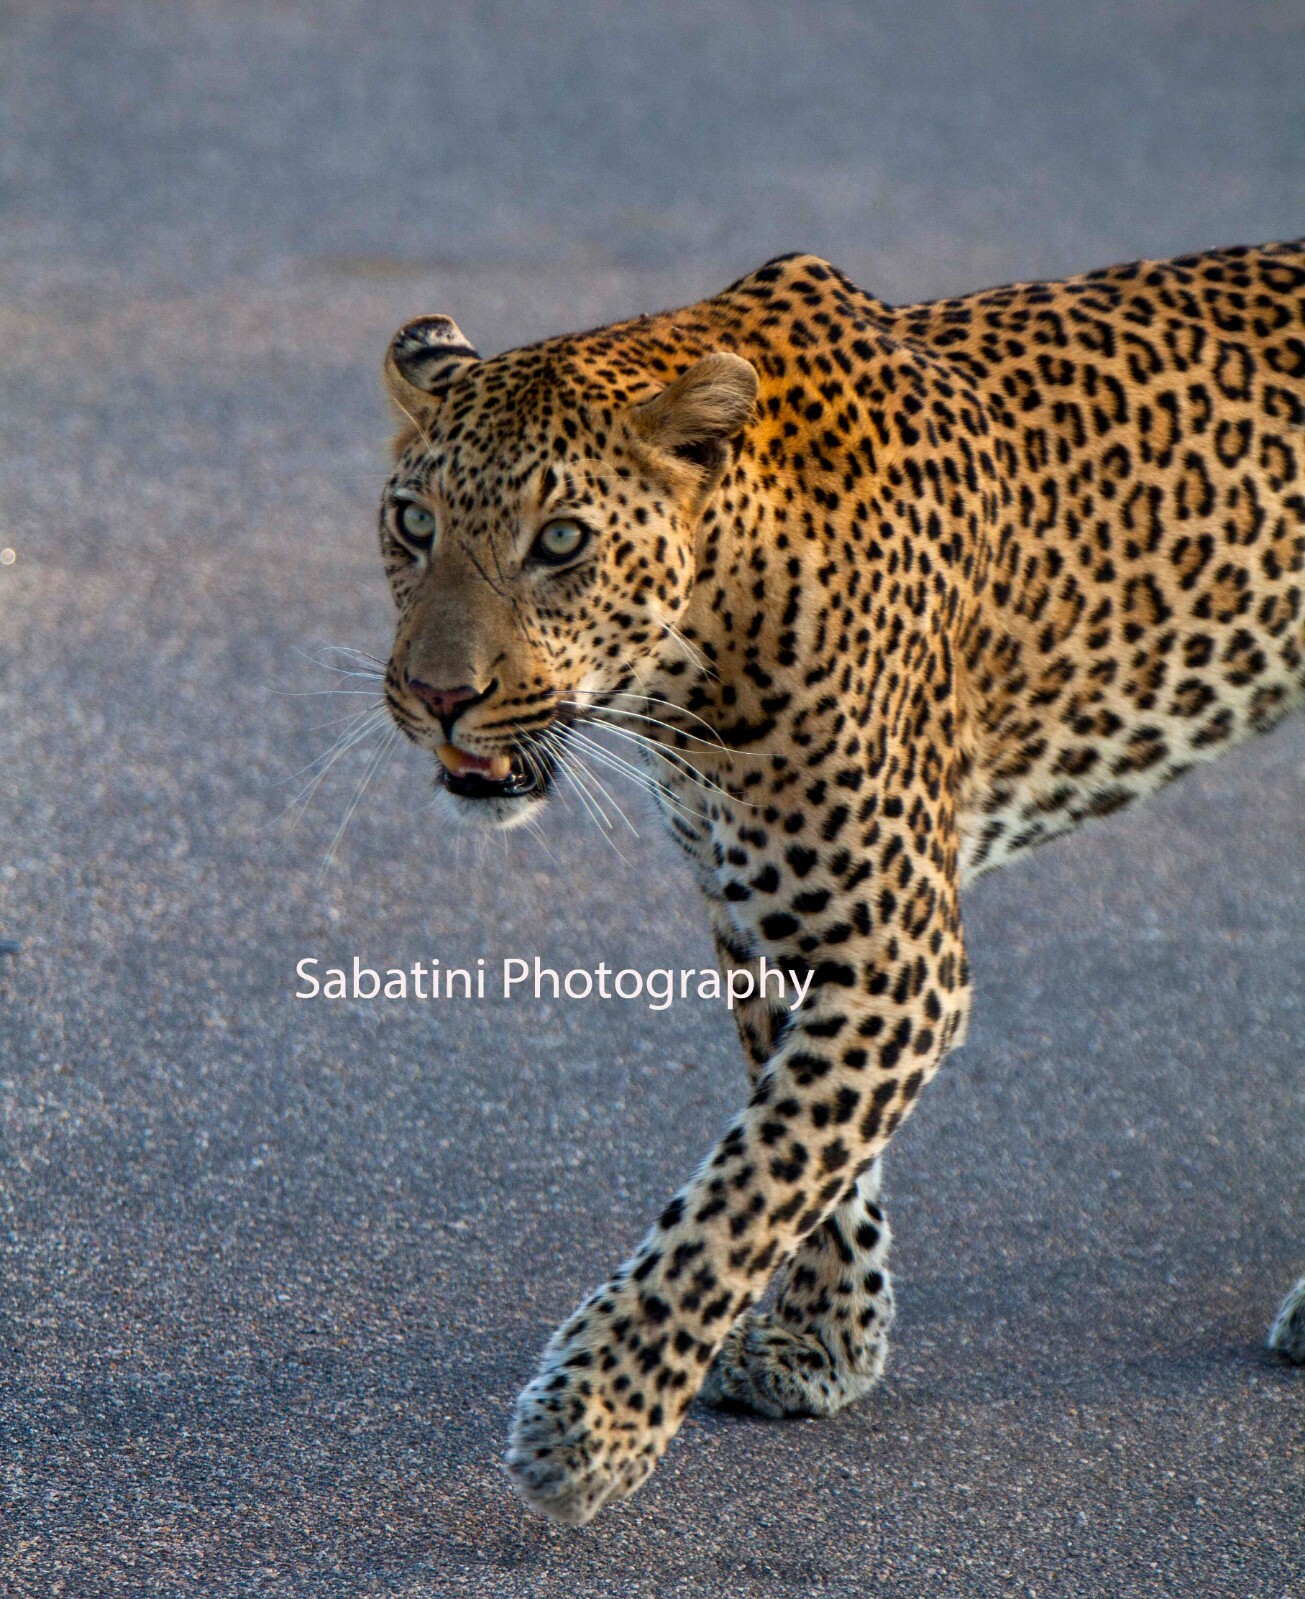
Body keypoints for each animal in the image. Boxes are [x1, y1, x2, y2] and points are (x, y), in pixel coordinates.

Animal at [374, 239, 1305, 1525]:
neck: (694, 665)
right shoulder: (766, 916)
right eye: (411, 523)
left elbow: (741, 1192)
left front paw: (591, 1424)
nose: (436, 697)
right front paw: (828, 1342)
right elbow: (803, 1145)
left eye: (560, 542)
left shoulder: (897, 956)